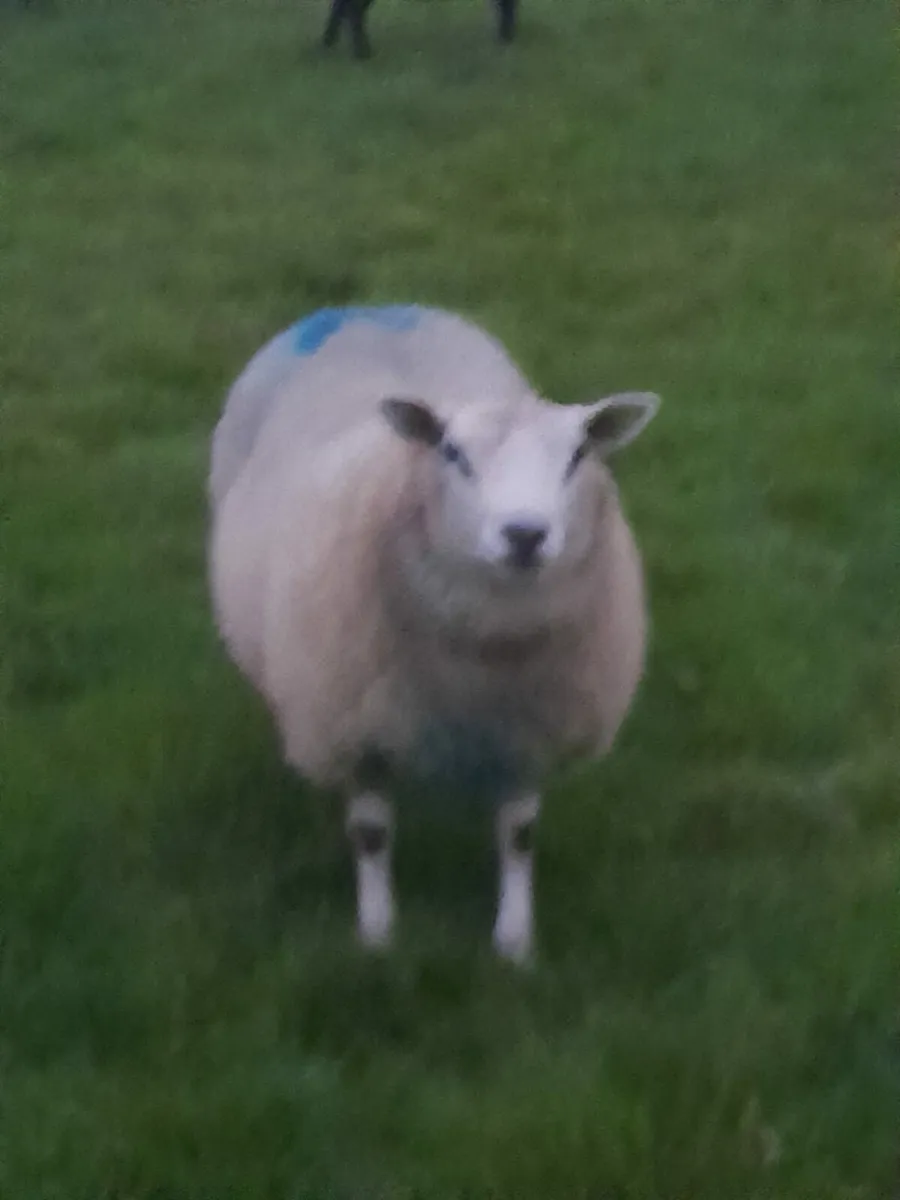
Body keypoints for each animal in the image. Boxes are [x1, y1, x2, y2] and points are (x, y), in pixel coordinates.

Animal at [208, 304, 659, 964]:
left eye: (577, 456)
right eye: (453, 453)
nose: (525, 534)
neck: (483, 658)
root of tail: (371, 308)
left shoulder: (529, 730)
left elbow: (519, 835)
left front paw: (514, 941)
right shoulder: (356, 729)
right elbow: (371, 835)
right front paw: (377, 935)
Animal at [321, 0, 518, 60]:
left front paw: (505, 38)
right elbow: (507, 7)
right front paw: (506, 38)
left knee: (343, 8)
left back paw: (325, 46)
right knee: (352, 10)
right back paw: (362, 54)